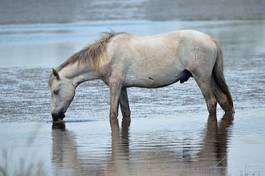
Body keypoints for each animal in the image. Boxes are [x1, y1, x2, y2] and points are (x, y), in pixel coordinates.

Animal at [47, 30, 233, 128]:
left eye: (55, 91)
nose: (55, 116)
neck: (107, 55)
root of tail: (210, 40)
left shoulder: (115, 86)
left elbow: (113, 114)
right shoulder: (122, 87)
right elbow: (126, 113)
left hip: (201, 77)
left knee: (211, 102)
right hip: (210, 78)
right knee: (224, 101)